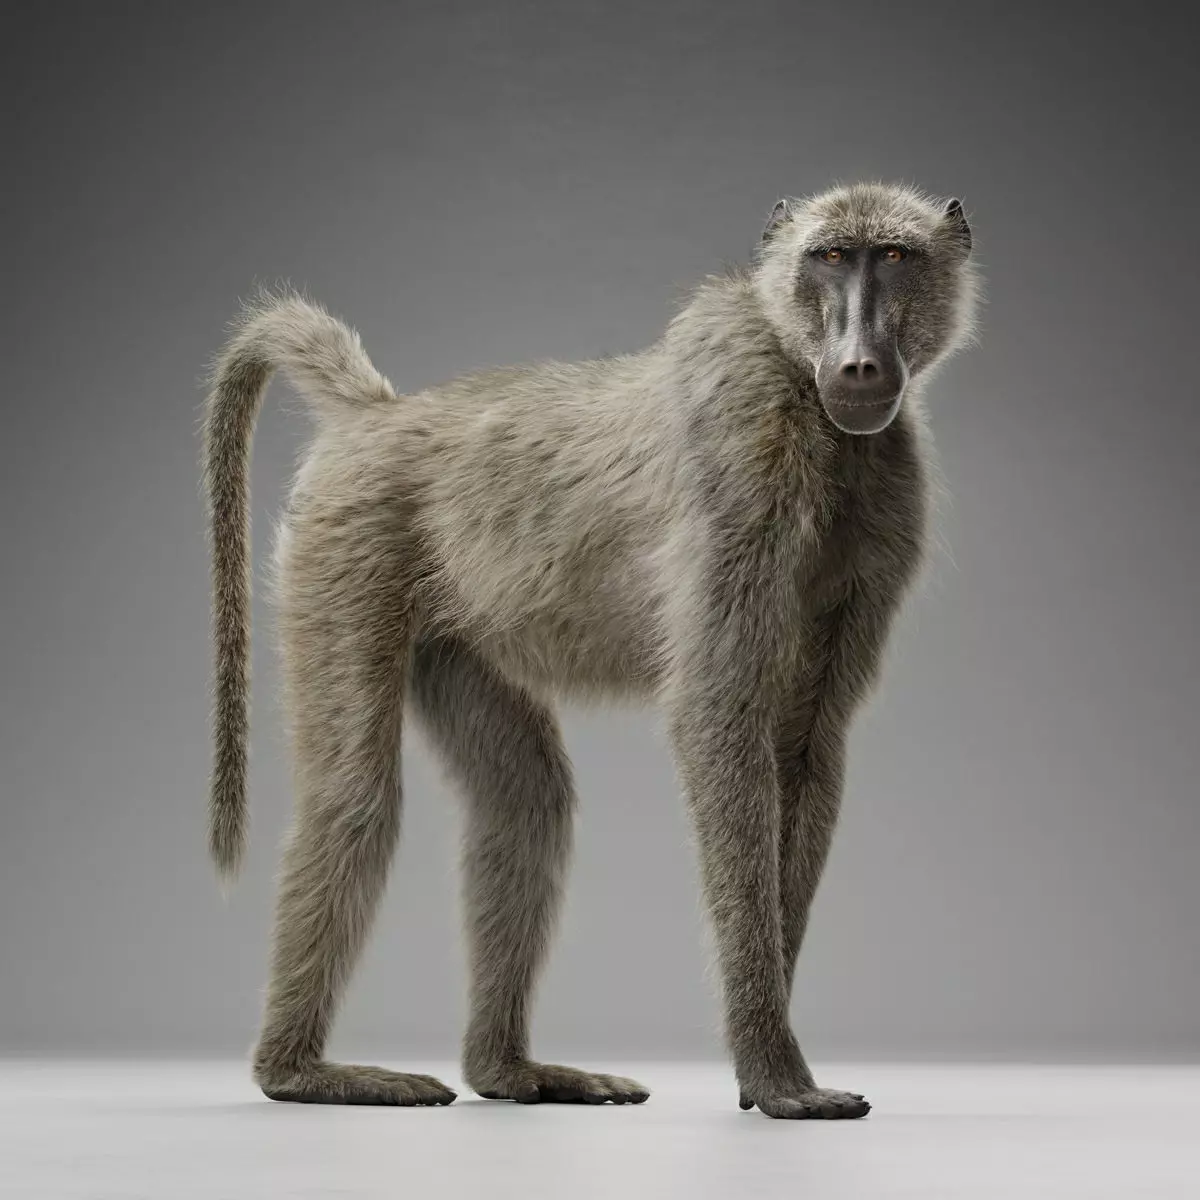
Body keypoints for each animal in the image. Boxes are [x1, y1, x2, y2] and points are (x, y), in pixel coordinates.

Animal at [201, 181, 979, 1119]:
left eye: (894, 258)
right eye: (830, 258)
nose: (859, 364)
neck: (803, 387)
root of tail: (378, 415)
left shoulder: (889, 498)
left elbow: (804, 745)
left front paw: (762, 1065)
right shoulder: (744, 460)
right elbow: (720, 718)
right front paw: (774, 1071)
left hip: (452, 629)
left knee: (527, 802)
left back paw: (508, 1072)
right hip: (346, 545)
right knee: (353, 799)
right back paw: (300, 1073)